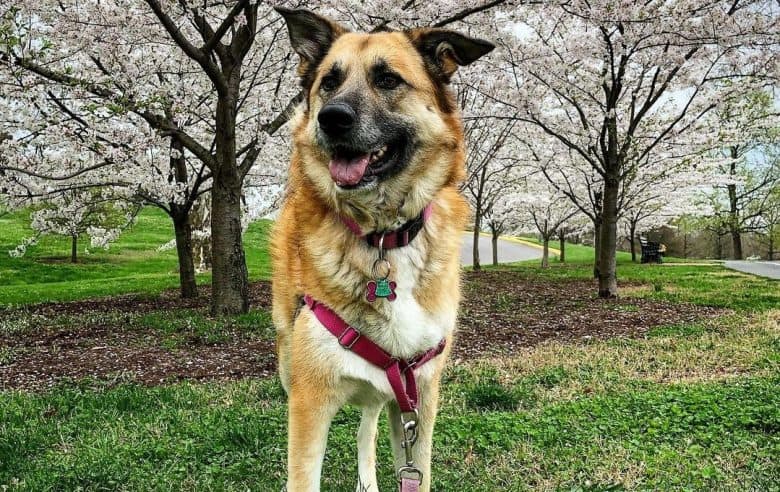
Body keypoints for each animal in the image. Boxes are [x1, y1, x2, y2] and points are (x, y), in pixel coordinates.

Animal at [272, 8, 494, 492]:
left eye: (388, 79)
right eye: (329, 82)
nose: (331, 118)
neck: (382, 238)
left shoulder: (418, 394)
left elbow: (414, 471)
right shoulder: (309, 401)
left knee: (367, 423)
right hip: (289, 363)